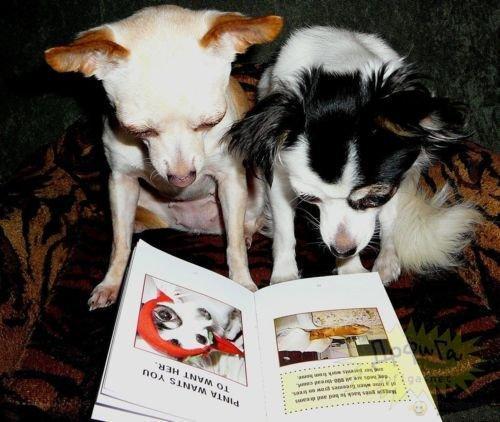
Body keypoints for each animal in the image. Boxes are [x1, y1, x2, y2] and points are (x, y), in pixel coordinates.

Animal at [44, 5, 283, 308]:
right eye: (137, 130)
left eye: (211, 122)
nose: (182, 178)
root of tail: (195, 228)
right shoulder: (120, 182)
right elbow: (119, 243)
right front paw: (111, 282)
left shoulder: (230, 179)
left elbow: (235, 245)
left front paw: (241, 284)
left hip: (254, 187)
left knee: (247, 223)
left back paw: (248, 232)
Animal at [228, 26, 481, 285]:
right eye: (309, 198)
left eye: (375, 198)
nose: (341, 250)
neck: (340, 69)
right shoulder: (279, 177)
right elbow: (284, 231)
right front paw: (285, 278)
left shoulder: (397, 181)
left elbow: (388, 218)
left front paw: (353, 270)